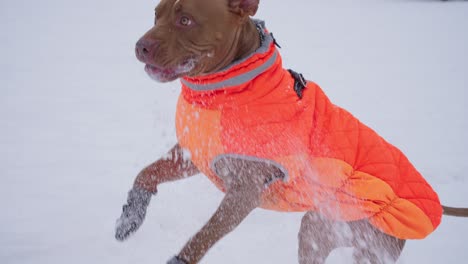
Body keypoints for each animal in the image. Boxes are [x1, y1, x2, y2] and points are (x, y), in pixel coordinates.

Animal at [114, 1, 468, 262]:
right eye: (156, 14)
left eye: (186, 20)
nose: (139, 47)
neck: (228, 91)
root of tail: (434, 203)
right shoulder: (194, 155)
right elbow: (146, 174)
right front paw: (130, 216)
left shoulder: (244, 193)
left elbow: (201, 238)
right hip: (321, 229)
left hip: (360, 241)